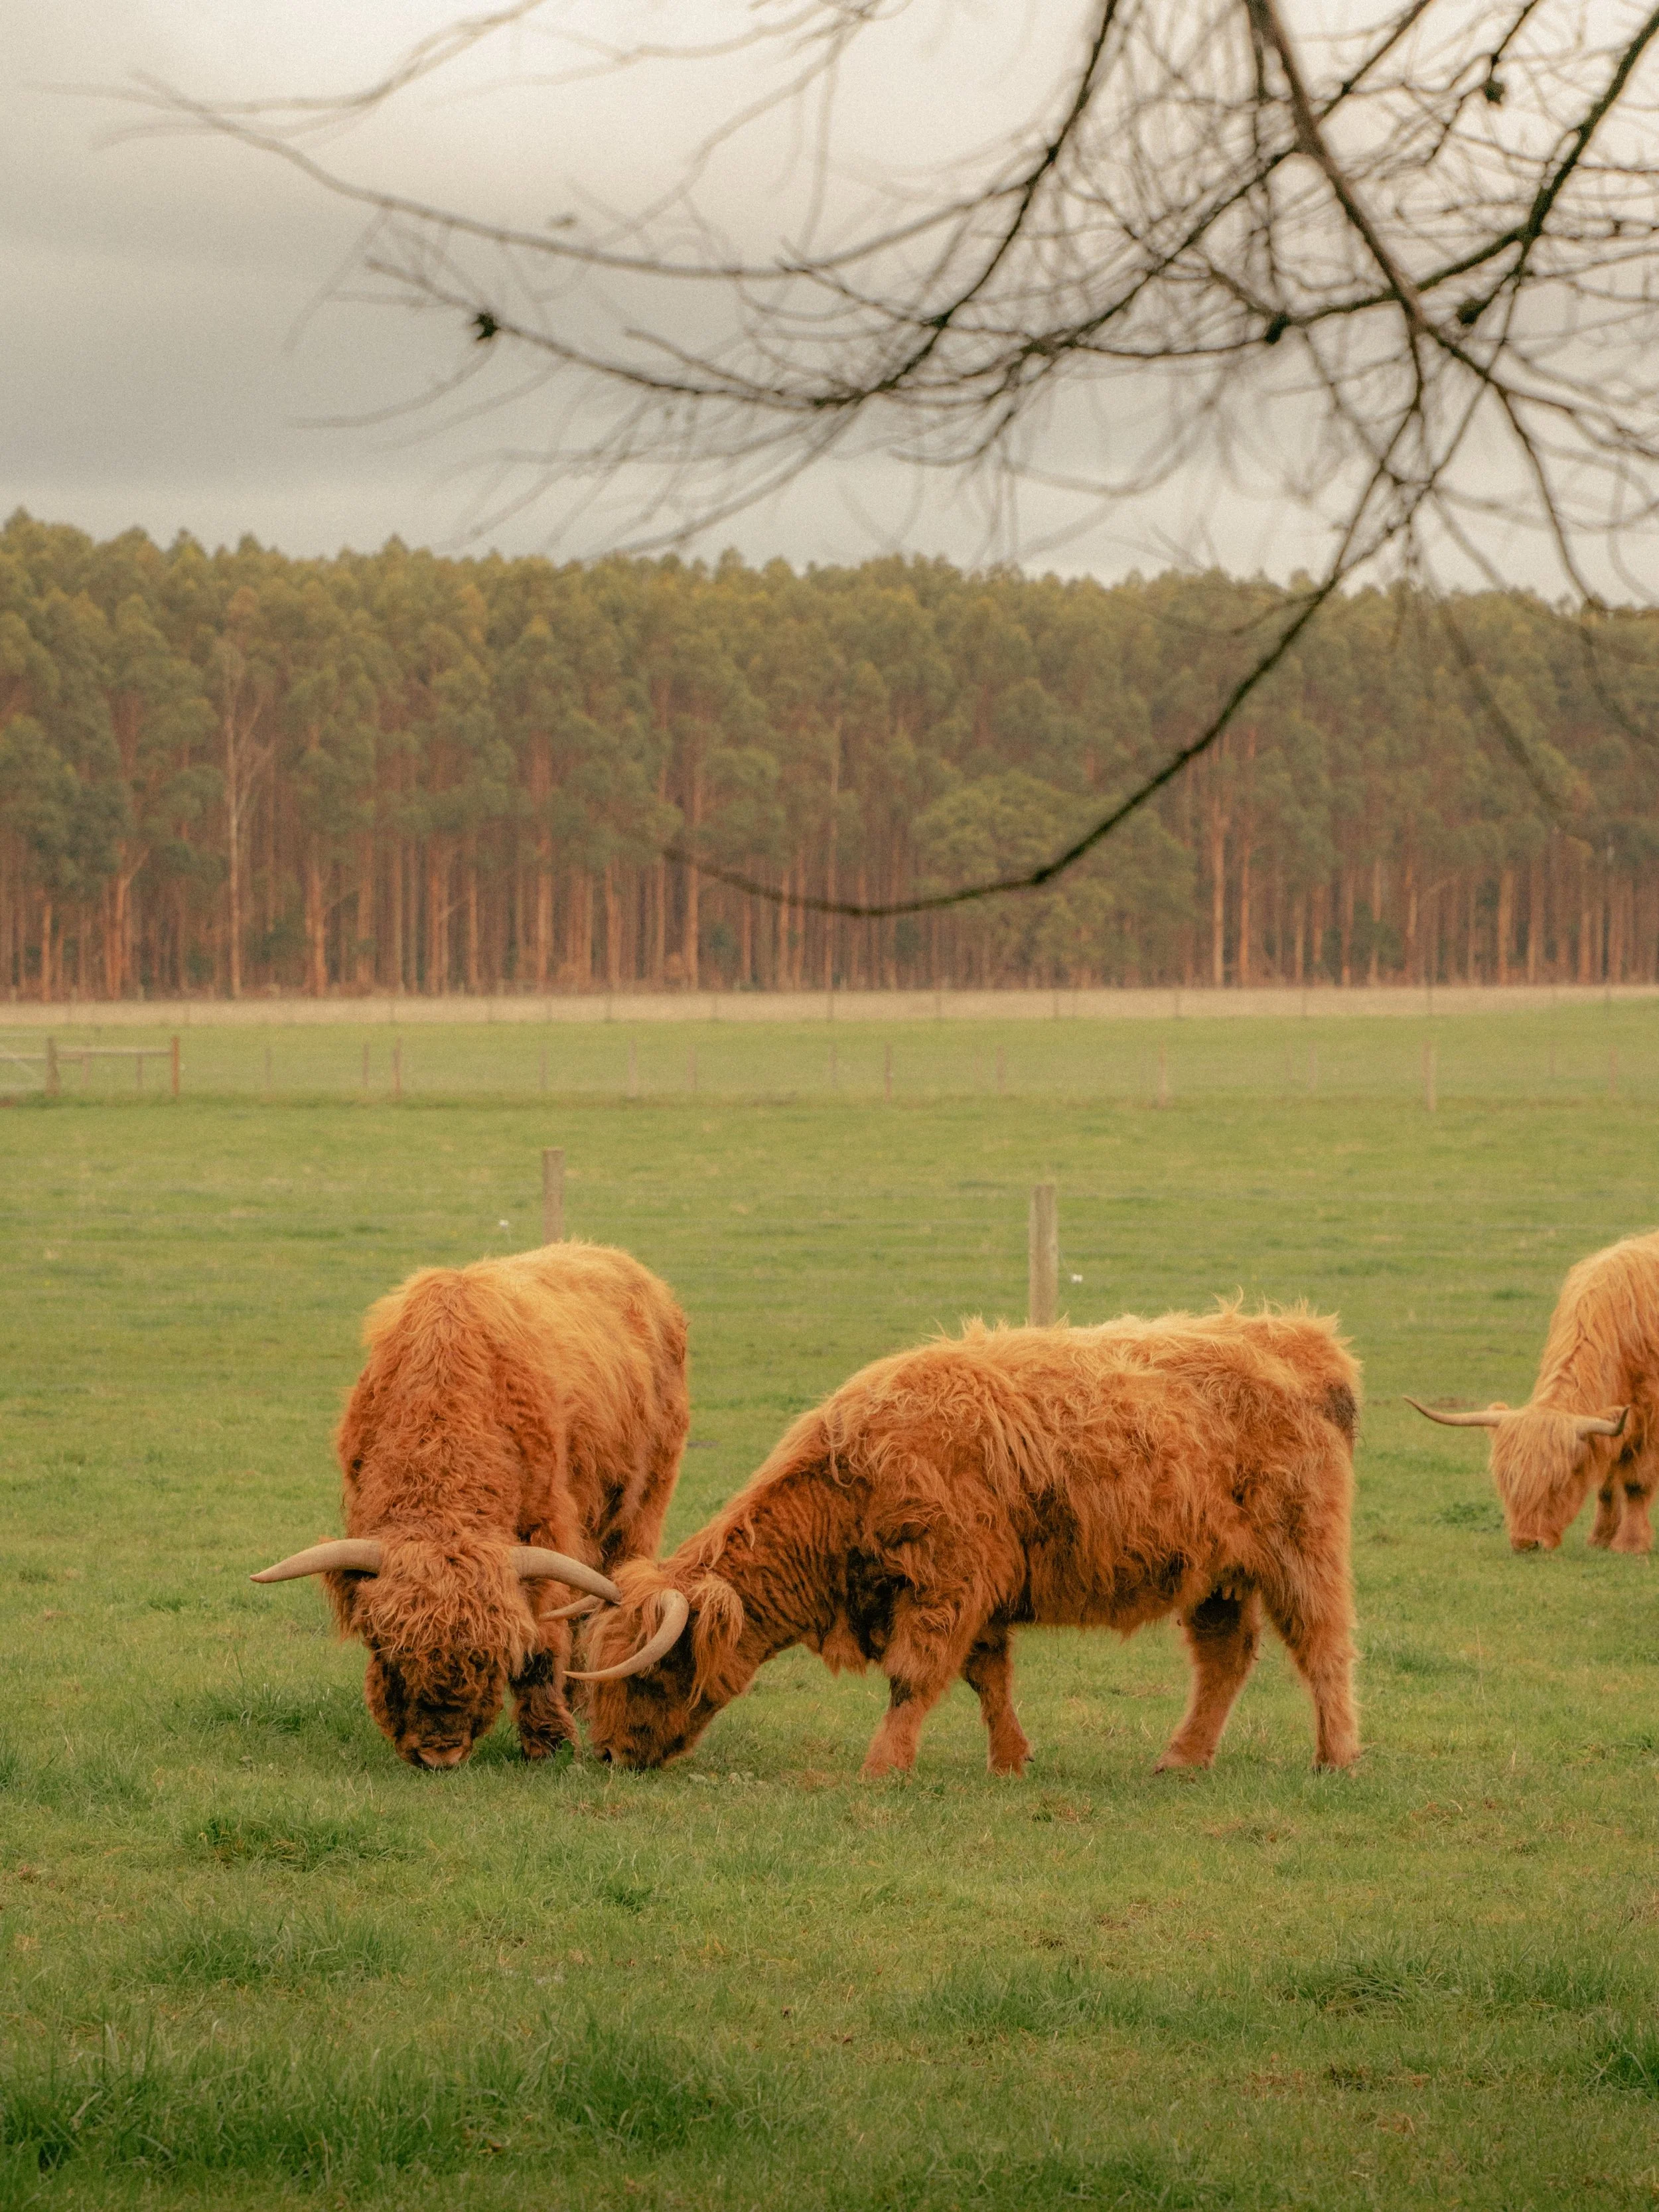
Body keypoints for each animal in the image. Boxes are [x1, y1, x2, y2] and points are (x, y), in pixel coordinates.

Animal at [252, 1241, 689, 1770]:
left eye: (489, 1657)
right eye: (391, 1653)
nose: (440, 1753)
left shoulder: (548, 1533)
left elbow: (543, 1640)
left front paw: (549, 1740)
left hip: (641, 1507)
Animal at [574, 1309, 1361, 1781]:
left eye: (650, 1672)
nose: (610, 1753)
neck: (853, 1479)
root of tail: (1296, 1335)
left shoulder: (947, 1582)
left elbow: (914, 1677)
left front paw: (883, 1767)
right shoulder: (978, 1591)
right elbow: (988, 1676)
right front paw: (1010, 1759)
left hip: (1302, 1549)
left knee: (1324, 1649)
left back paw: (1337, 1757)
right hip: (1216, 1575)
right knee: (1225, 1658)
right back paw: (1182, 1757)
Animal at [1408, 1228, 1654, 1553]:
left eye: (1559, 1483)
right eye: (1506, 1480)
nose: (1527, 1542)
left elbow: (1636, 1483)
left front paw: (1631, 1545)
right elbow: (1605, 1483)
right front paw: (1600, 1539)